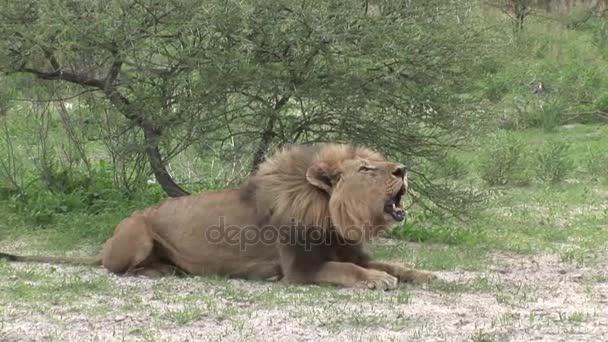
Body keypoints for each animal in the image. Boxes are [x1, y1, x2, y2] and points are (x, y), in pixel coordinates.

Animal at [1, 143, 436, 290]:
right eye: (366, 169)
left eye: (381, 163)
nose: (402, 169)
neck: (333, 218)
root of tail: (105, 246)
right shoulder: (300, 270)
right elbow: (348, 271)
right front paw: (378, 281)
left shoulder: (349, 249)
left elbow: (393, 263)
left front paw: (426, 273)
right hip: (137, 230)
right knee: (121, 270)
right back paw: (160, 272)